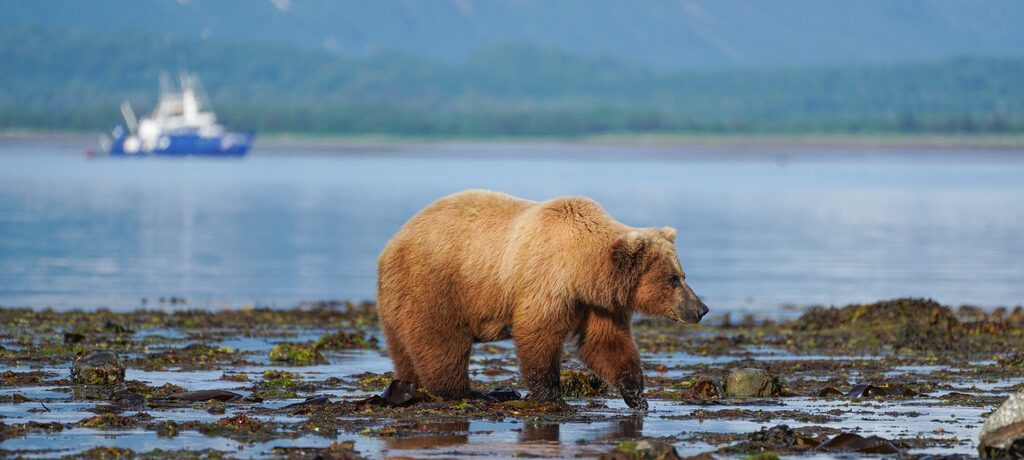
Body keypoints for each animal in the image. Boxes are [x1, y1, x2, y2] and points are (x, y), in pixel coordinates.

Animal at [376, 189, 708, 410]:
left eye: (682, 274)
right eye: (673, 279)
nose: (701, 309)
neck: (583, 269)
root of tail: (393, 241)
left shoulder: (597, 304)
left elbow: (606, 342)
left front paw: (636, 394)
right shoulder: (546, 281)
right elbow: (538, 334)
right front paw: (551, 395)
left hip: (398, 298)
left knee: (404, 346)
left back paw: (406, 387)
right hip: (436, 282)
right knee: (441, 339)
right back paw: (471, 392)